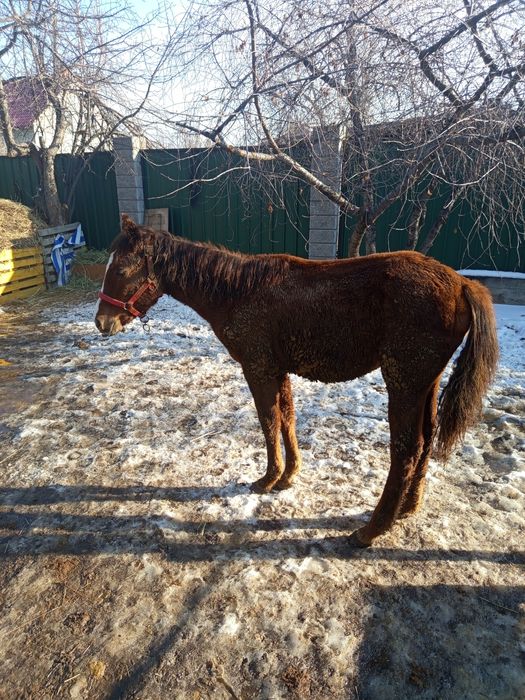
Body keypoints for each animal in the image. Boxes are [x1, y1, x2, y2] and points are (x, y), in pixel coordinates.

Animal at [95, 214, 499, 546]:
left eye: (121, 270)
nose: (102, 322)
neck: (237, 290)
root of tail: (462, 284)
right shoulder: (278, 370)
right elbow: (287, 418)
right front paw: (289, 475)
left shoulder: (257, 368)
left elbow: (268, 422)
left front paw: (267, 478)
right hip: (426, 383)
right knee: (428, 440)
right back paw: (409, 507)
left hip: (404, 382)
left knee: (407, 450)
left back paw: (372, 530)